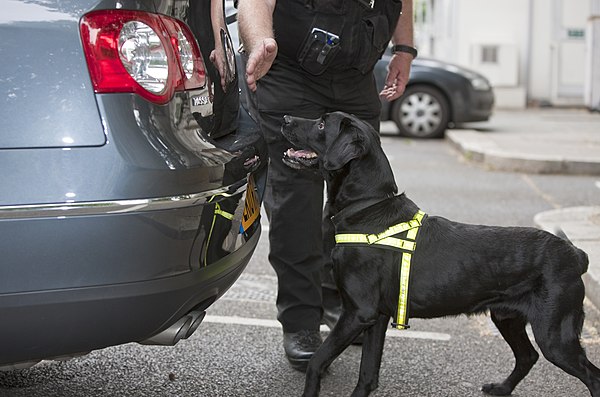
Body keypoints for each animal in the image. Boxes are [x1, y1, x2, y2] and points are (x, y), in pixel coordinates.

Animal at [282, 111, 600, 396]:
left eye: (322, 123)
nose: (284, 118)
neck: (367, 208)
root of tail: (575, 255)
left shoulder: (358, 313)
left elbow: (318, 361)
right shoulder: (376, 317)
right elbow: (367, 375)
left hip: (555, 335)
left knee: (590, 375)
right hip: (507, 317)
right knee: (527, 356)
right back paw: (501, 388)